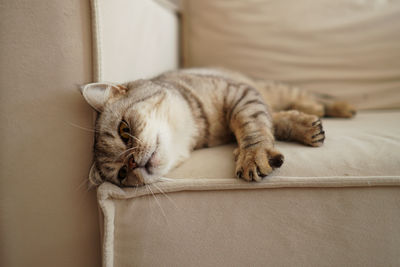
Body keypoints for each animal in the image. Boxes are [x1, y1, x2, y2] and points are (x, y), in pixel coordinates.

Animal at [79, 68, 354, 187]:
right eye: (122, 174)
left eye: (124, 131)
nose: (133, 163)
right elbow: (272, 119)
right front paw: (303, 126)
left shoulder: (240, 93)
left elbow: (253, 123)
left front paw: (253, 155)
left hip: (276, 88)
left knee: (311, 95)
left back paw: (339, 106)